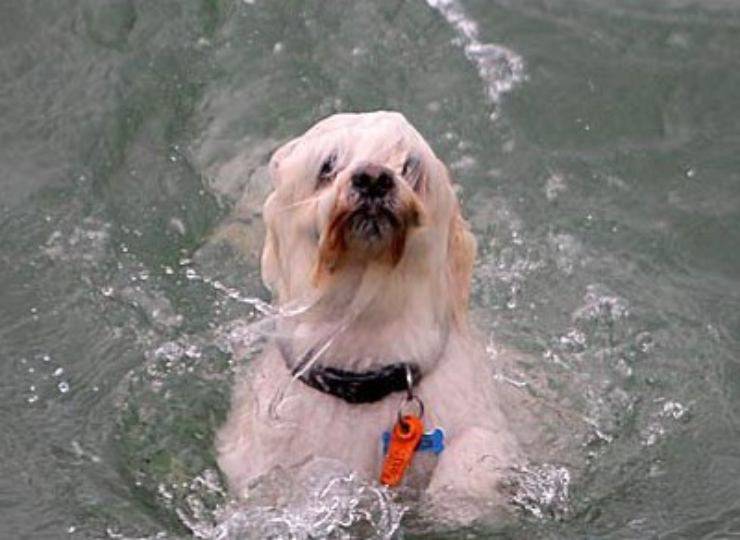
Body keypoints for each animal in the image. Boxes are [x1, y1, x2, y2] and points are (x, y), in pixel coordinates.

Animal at [217, 110, 524, 524]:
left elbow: (480, 445)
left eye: (410, 165)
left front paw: (457, 498)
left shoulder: (470, 403)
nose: (374, 177)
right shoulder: (271, 443)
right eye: (327, 164)